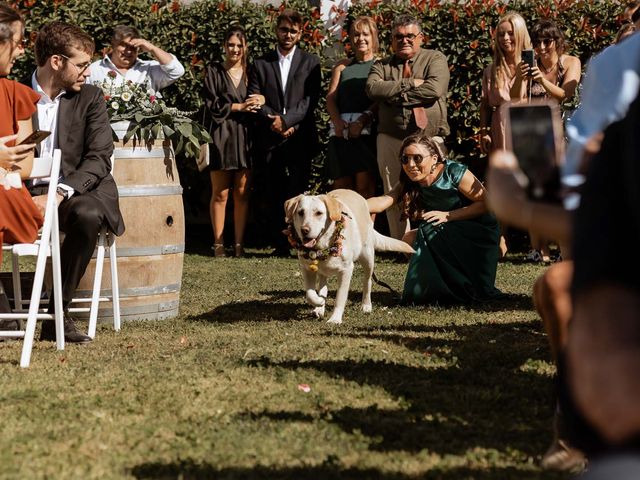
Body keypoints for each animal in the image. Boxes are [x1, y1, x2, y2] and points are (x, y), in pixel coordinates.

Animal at [284, 189, 416, 324]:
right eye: (300, 212)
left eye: (319, 213)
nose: (304, 230)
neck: (323, 248)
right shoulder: (307, 269)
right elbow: (310, 293)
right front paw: (319, 302)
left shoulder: (346, 270)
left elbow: (340, 297)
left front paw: (335, 319)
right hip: (324, 270)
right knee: (322, 285)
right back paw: (319, 308)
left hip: (368, 258)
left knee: (367, 282)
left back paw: (366, 305)